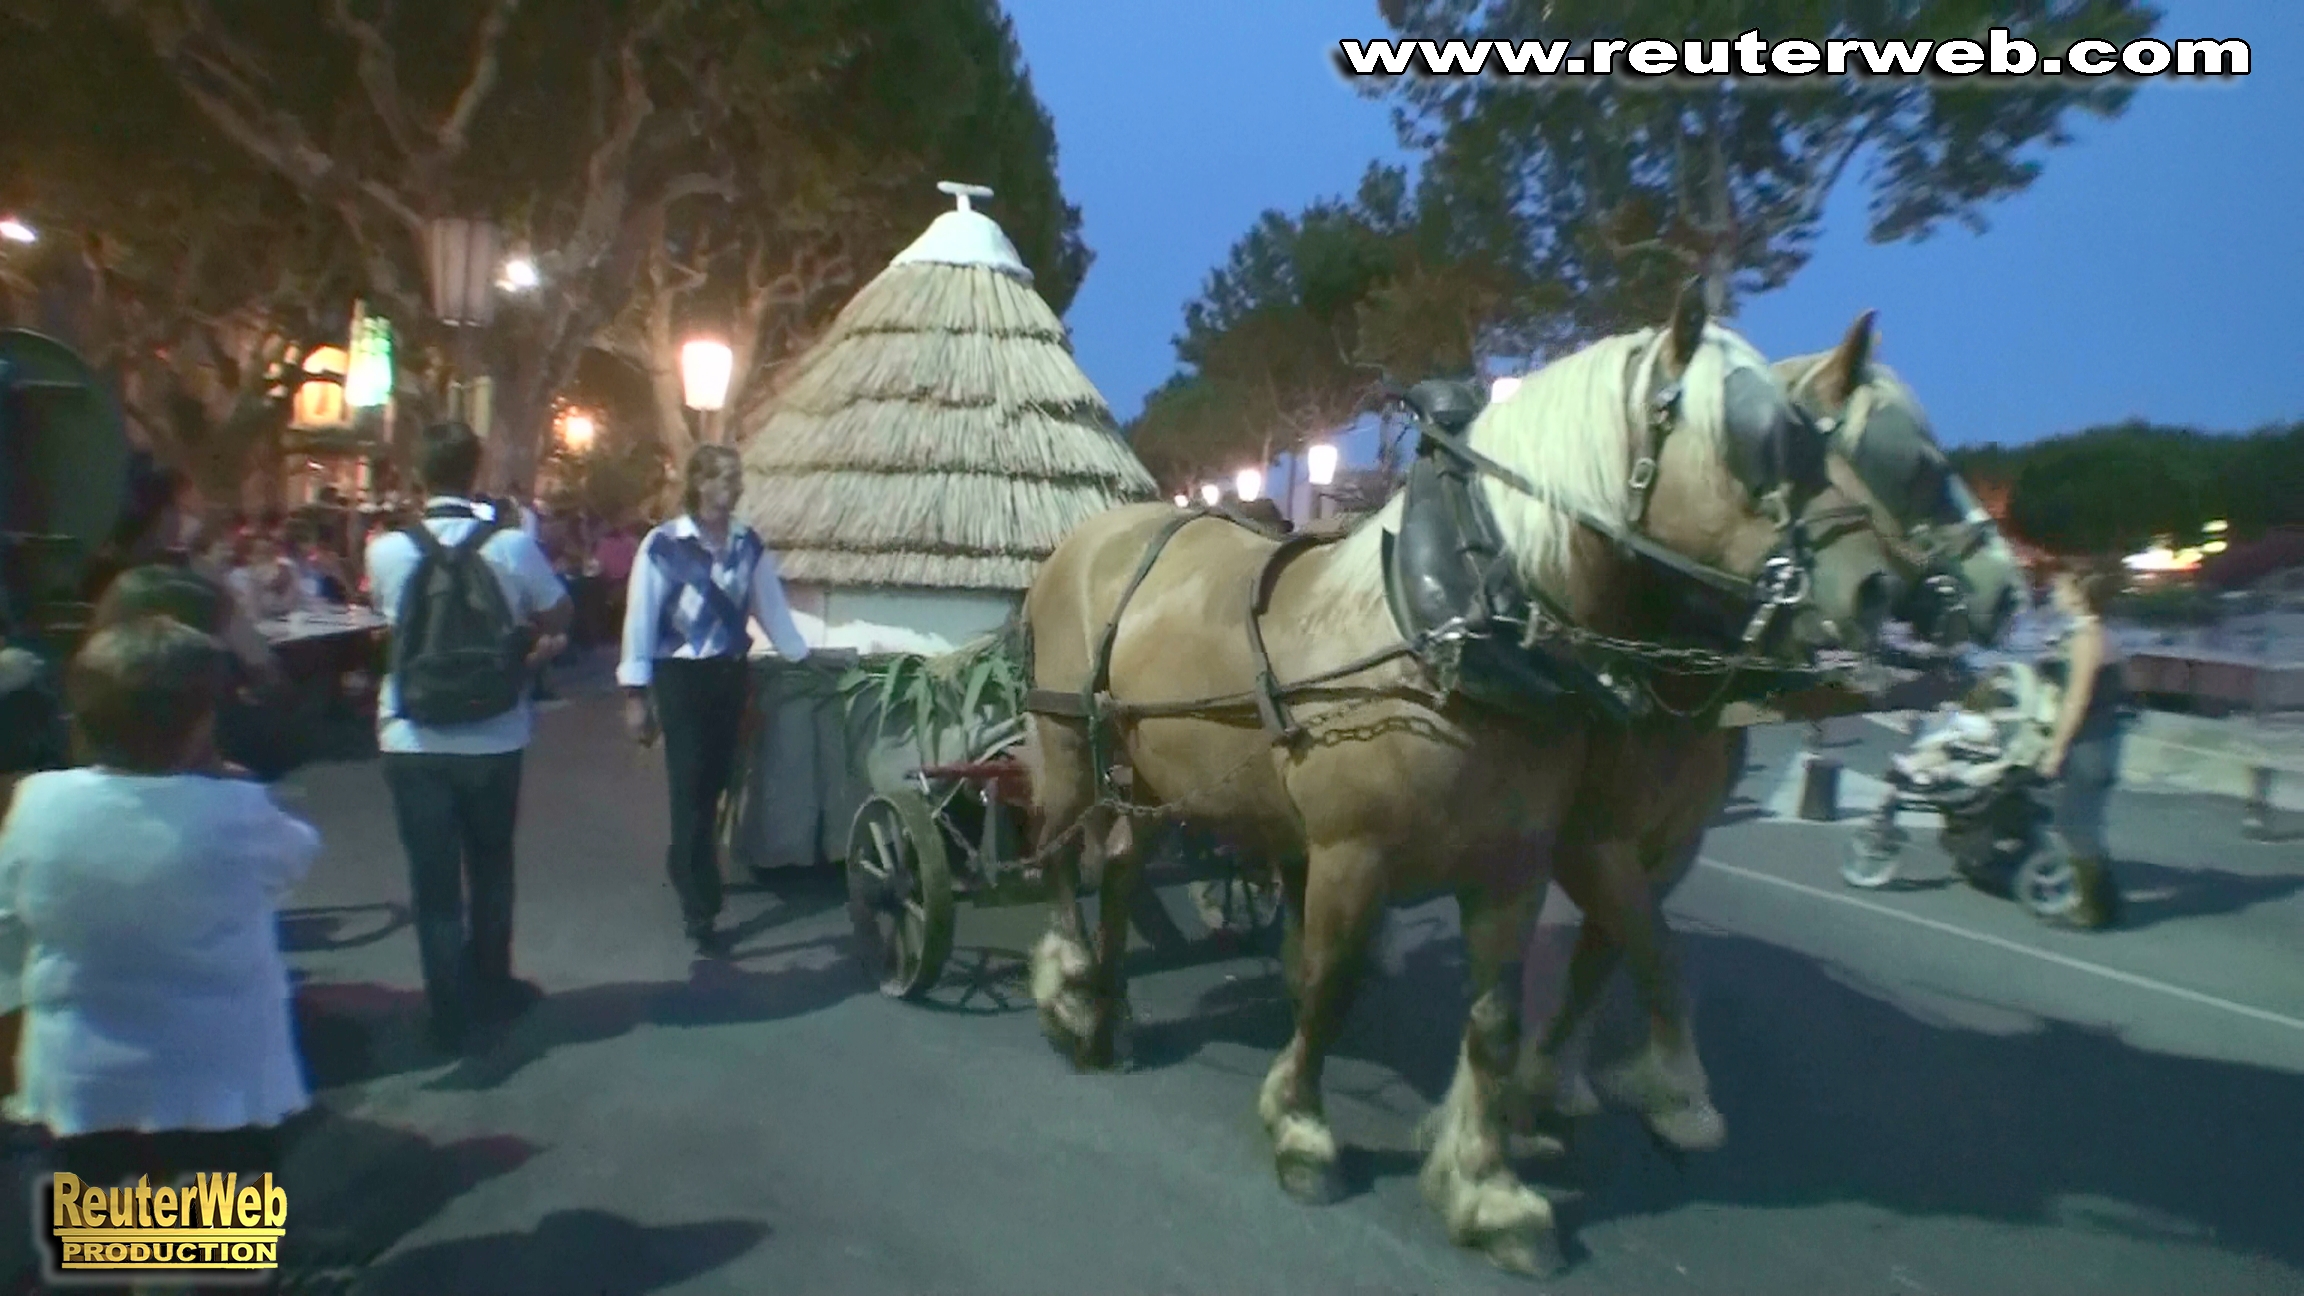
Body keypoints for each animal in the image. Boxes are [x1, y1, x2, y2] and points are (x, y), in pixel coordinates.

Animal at [1015, 286, 1904, 1275]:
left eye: (1817, 439)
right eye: (1757, 438)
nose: (1876, 591)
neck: (1448, 628)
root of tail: (1097, 530)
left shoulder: (1513, 869)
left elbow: (1496, 1022)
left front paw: (1488, 1188)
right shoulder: (1350, 855)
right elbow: (1327, 983)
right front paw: (1301, 1129)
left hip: (1149, 771)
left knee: (1123, 868)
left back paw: (1110, 1009)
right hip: (1069, 745)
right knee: (1062, 860)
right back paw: (1071, 994)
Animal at [1507, 311, 2028, 1157]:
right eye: (1918, 465)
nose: (2009, 592)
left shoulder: (1670, 842)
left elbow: (1613, 953)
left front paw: (1562, 1075)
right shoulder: (1590, 839)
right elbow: (1653, 951)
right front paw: (1662, 1092)